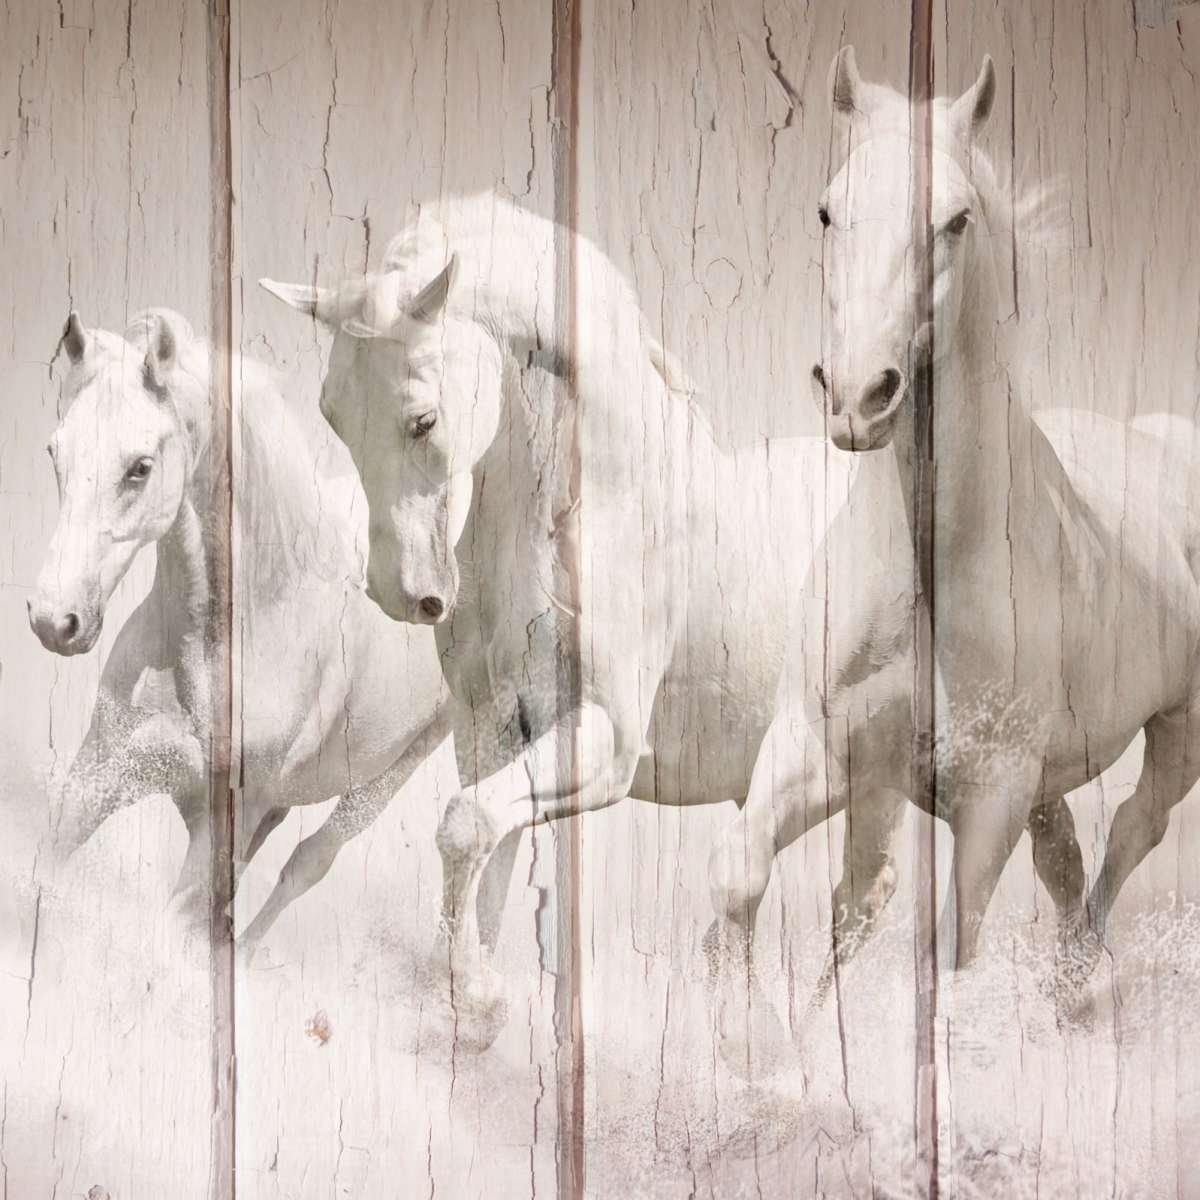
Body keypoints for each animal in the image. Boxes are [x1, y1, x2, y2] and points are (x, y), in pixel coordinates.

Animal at [28, 310, 452, 949]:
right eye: (56, 452)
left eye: (140, 467)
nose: (54, 620)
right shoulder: (99, 773)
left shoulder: (224, 823)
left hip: (391, 773)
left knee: (307, 863)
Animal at [262, 191, 859, 1065]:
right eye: (332, 416)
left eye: (422, 419)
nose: (404, 595)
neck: (598, 503)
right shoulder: (493, 726)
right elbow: (485, 851)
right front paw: (468, 1008)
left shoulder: (605, 739)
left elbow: (467, 826)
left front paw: (475, 999)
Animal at [797, 46, 1200, 994]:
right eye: (829, 209)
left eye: (956, 219)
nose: (860, 396)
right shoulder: (855, 763)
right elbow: (843, 913)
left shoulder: (990, 807)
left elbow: (949, 952)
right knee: (1067, 861)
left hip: (1179, 730)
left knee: (1135, 829)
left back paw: (1079, 985)